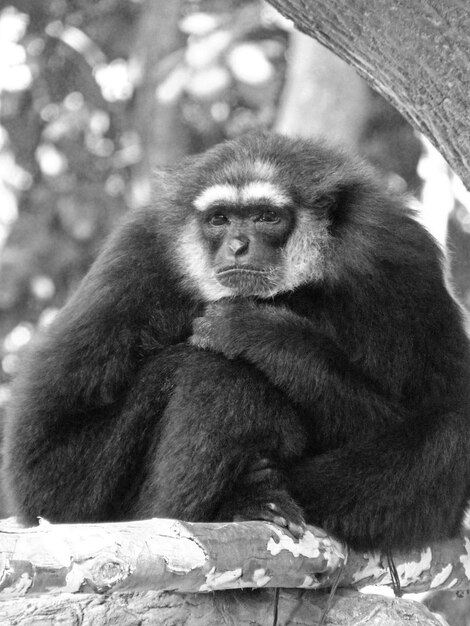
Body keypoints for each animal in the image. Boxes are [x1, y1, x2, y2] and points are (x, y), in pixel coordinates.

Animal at [3, 132, 470, 552]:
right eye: (220, 219)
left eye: (266, 216)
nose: (238, 245)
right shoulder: (137, 257)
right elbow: (48, 476)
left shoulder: (399, 254)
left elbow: (434, 406)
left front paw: (260, 331)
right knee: (217, 370)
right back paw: (238, 503)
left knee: (451, 432)